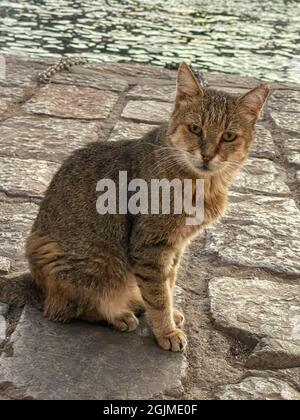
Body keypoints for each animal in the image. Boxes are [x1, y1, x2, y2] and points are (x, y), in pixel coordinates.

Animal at [24, 61, 270, 352]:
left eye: (229, 136)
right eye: (195, 129)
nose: (207, 155)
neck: (204, 184)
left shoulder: (176, 245)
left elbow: (168, 283)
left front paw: (169, 315)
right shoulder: (151, 246)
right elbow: (159, 295)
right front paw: (167, 330)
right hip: (95, 261)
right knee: (65, 308)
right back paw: (118, 314)